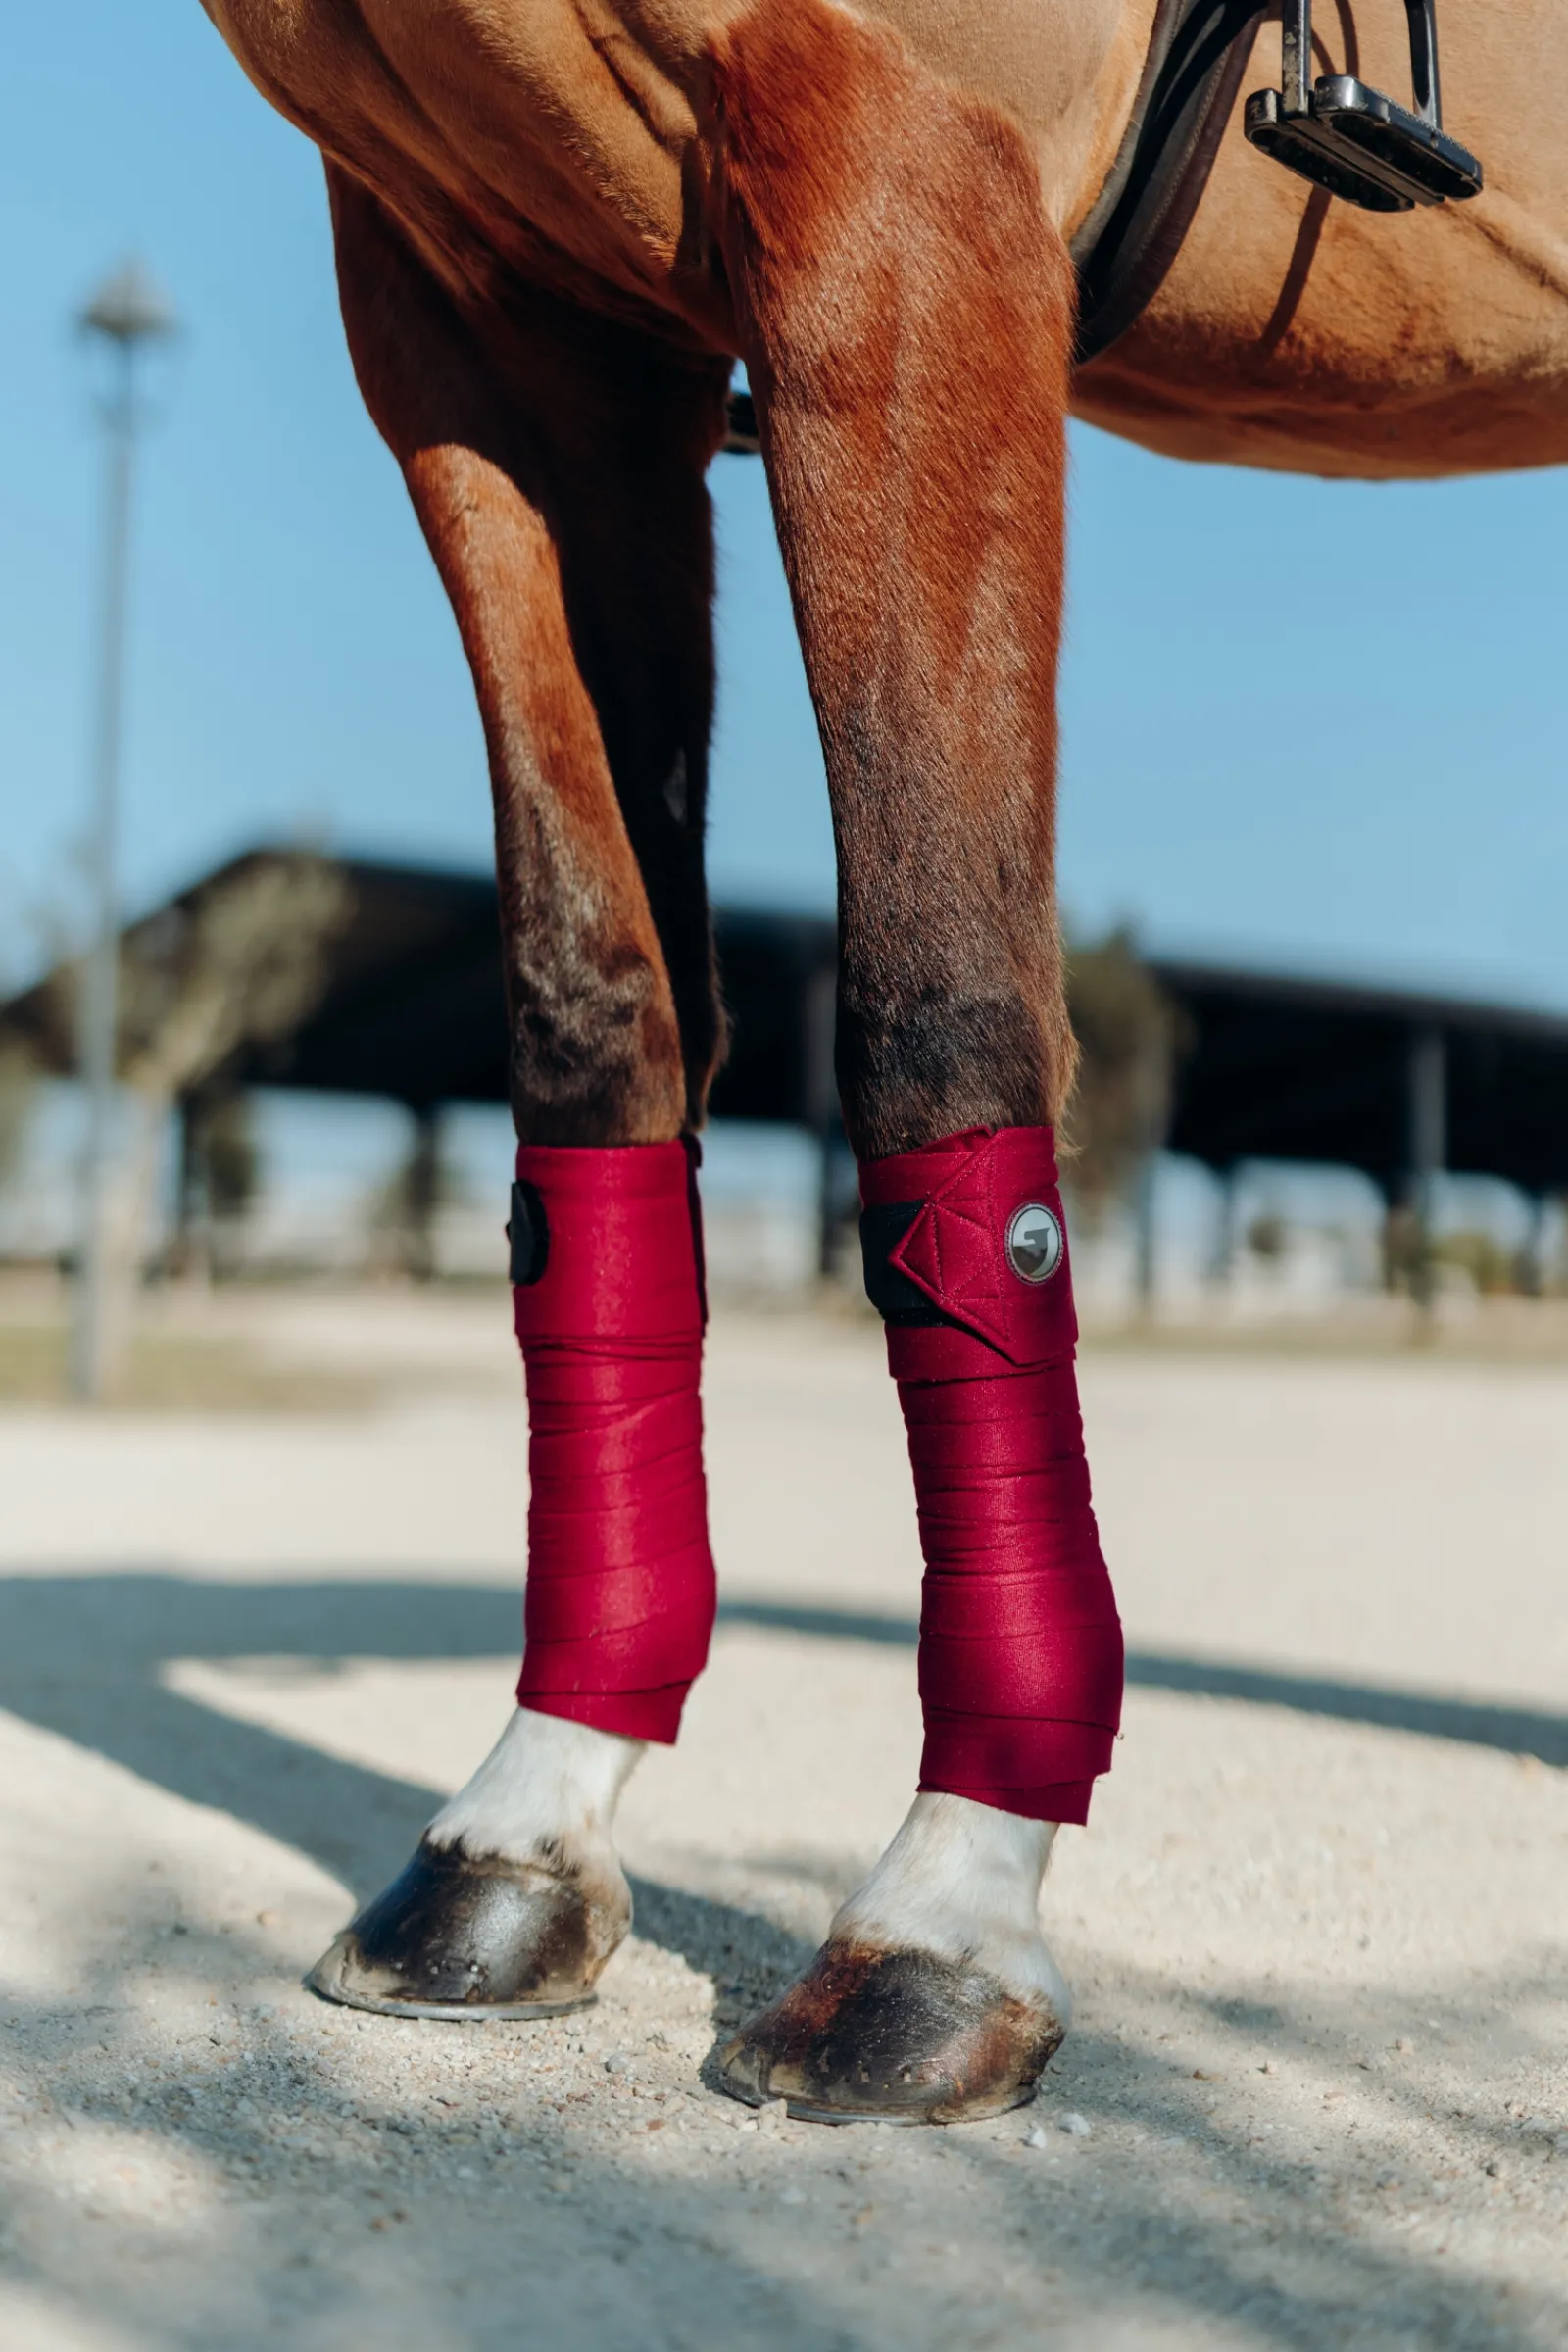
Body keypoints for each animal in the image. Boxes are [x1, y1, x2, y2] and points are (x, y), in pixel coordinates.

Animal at [196, 0, 1568, 2123]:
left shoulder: (907, 171)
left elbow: (934, 1006)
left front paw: (943, 1912)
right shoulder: (484, 309)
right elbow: (594, 1011)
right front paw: (522, 1826)